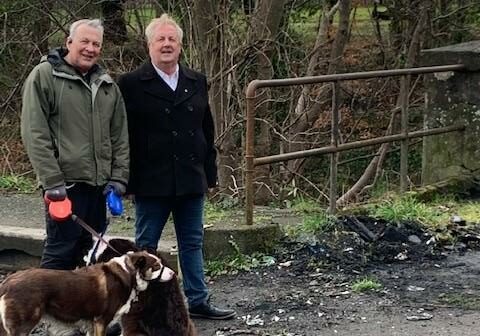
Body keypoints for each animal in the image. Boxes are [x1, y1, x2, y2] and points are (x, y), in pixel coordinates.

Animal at [0, 251, 174, 334]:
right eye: (157, 266)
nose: (174, 274)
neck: (128, 273)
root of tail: (7, 281)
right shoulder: (101, 321)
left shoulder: (93, 324)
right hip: (23, 326)